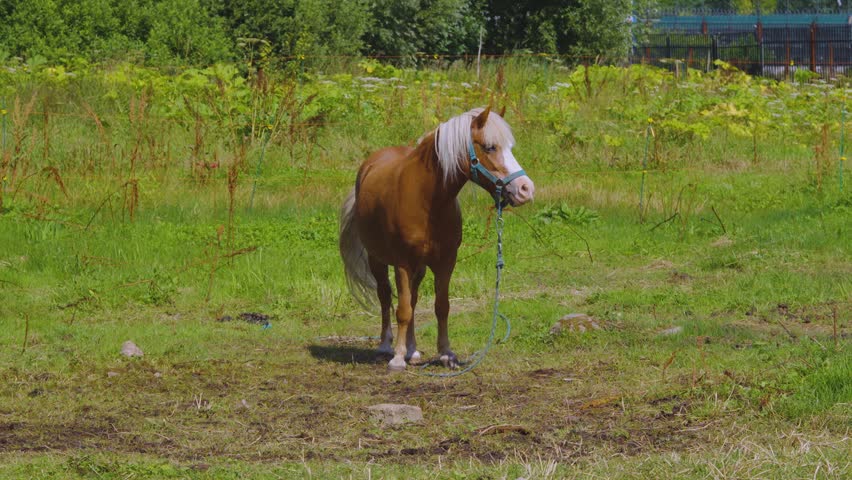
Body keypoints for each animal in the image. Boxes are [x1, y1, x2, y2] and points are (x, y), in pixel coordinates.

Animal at [338, 107, 535, 372]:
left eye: (510, 147)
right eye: (490, 147)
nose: (526, 189)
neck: (425, 199)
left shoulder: (445, 262)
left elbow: (441, 307)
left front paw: (446, 354)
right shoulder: (402, 263)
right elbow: (402, 309)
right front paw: (397, 358)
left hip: (419, 267)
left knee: (412, 298)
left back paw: (412, 350)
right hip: (377, 259)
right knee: (385, 296)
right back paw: (386, 346)